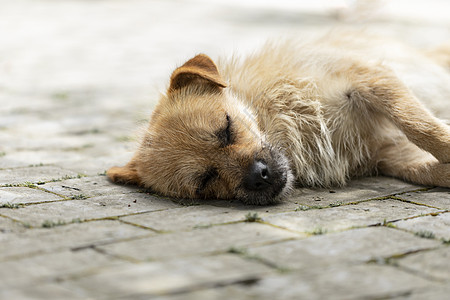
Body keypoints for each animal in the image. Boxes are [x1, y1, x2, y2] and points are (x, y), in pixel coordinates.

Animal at [106, 31, 450, 205]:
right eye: (205, 180)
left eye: (226, 129)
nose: (261, 176)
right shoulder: (390, 156)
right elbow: (429, 170)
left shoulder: (370, 79)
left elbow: (421, 126)